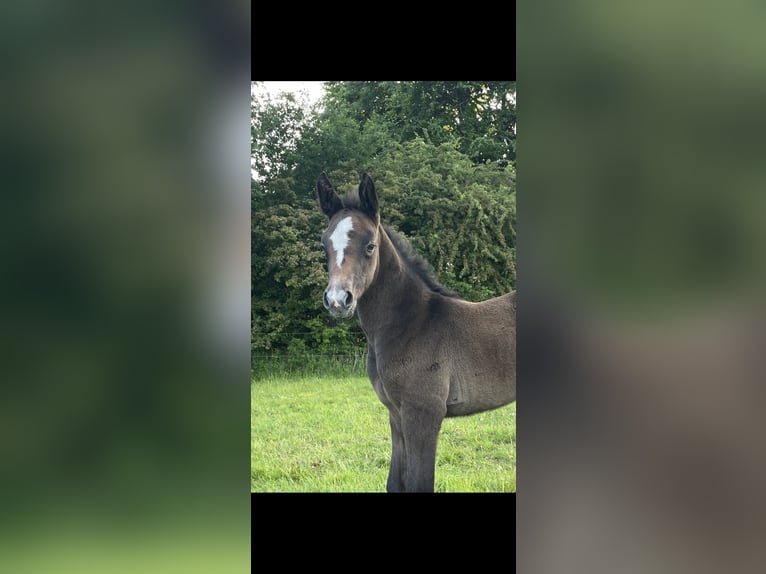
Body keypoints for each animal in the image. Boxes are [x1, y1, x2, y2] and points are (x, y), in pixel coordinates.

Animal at [317, 172, 516, 492]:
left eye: (370, 245)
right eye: (324, 246)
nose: (337, 300)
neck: (411, 323)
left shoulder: (423, 413)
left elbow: (420, 484)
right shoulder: (396, 413)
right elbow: (395, 483)